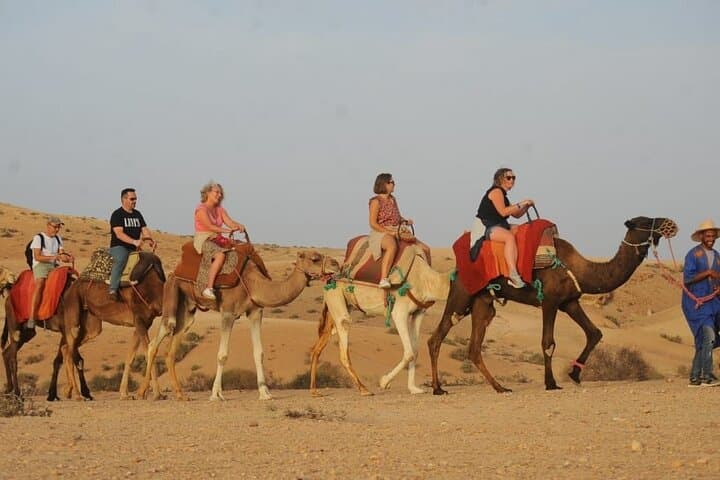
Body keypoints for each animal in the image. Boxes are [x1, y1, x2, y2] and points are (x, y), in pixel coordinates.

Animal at [60, 251, 166, 400]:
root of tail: (71, 288)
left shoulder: (144, 323)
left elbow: (131, 356)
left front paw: (125, 394)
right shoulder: (139, 319)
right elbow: (148, 353)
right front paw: (157, 394)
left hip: (91, 323)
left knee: (66, 348)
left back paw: (70, 392)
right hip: (72, 309)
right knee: (69, 345)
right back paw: (78, 395)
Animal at [137, 249, 340, 401]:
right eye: (315, 259)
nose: (336, 264)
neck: (253, 283)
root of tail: (175, 271)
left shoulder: (255, 312)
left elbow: (259, 353)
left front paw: (265, 393)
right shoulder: (228, 312)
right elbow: (222, 355)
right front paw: (216, 394)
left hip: (187, 308)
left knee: (172, 346)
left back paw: (180, 395)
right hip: (171, 291)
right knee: (158, 338)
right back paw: (143, 393)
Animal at [309, 248, 452, 396]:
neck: (427, 280)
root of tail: (328, 280)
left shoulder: (418, 313)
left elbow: (415, 351)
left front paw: (413, 388)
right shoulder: (400, 312)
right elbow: (409, 353)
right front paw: (384, 382)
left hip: (337, 308)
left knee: (318, 347)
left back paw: (314, 391)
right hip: (336, 300)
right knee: (343, 337)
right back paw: (364, 389)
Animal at [427, 216, 677, 394]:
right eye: (645, 222)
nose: (670, 224)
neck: (580, 269)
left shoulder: (570, 302)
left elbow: (594, 333)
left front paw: (575, 375)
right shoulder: (550, 301)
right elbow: (548, 343)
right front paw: (551, 383)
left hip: (483, 302)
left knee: (474, 347)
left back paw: (500, 387)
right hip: (462, 295)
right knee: (437, 337)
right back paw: (438, 388)